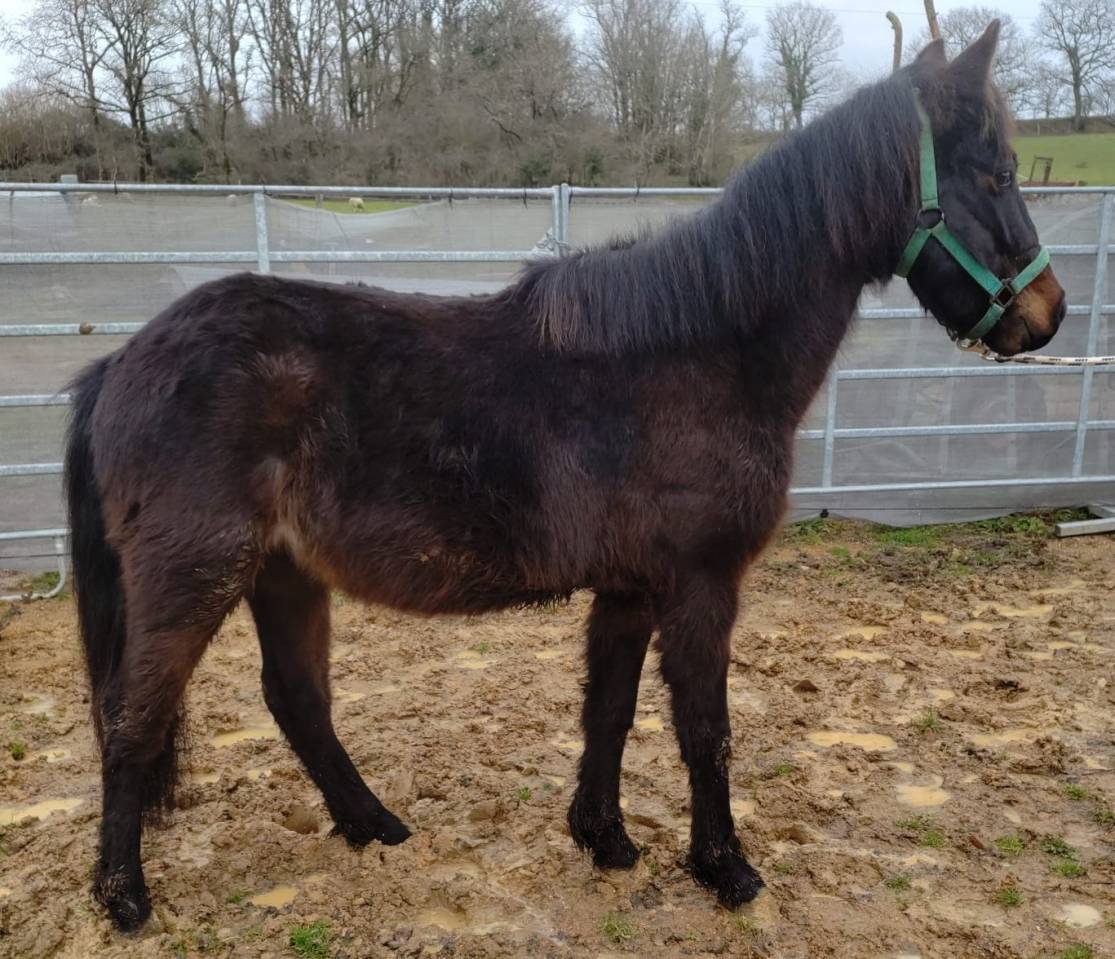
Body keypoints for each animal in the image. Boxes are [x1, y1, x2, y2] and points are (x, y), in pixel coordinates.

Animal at [65, 22, 1064, 931]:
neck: (698, 351)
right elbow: (705, 730)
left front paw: (604, 837)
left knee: (297, 700)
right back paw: (123, 896)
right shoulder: (699, 582)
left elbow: (609, 712)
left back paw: (373, 825)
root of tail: (122, 362)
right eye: (996, 175)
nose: (1047, 315)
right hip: (194, 575)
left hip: (283, 573)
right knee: (133, 716)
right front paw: (724, 867)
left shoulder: (629, 586)